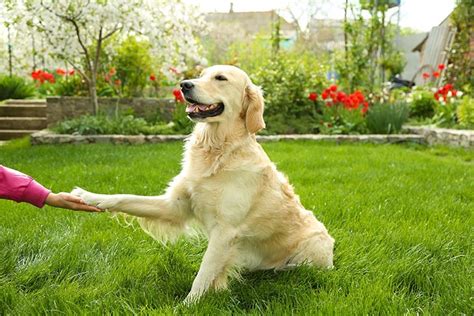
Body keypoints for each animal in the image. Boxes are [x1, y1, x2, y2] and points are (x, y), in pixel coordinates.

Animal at [72, 65, 336, 304]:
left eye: (220, 78)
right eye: (201, 74)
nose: (184, 85)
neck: (217, 150)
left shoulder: (225, 231)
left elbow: (203, 273)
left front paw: (187, 306)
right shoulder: (175, 206)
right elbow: (125, 198)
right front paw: (87, 195)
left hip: (312, 249)